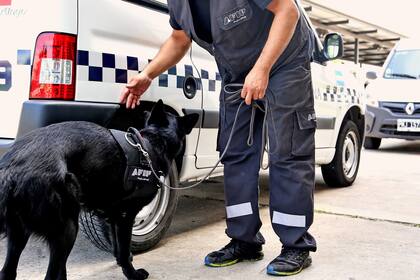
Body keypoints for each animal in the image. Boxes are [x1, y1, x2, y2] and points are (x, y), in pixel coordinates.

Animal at [0, 100, 199, 280]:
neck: (153, 142)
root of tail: (11, 168)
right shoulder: (125, 217)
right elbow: (124, 247)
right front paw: (132, 273)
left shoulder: (112, 216)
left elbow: (117, 246)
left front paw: (122, 262)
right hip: (67, 229)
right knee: (52, 274)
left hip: (19, 234)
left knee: (8, 272)